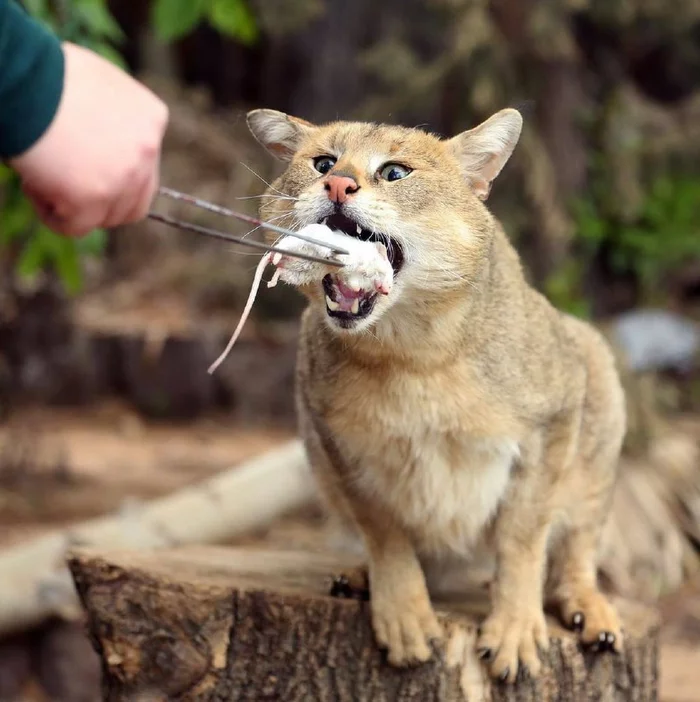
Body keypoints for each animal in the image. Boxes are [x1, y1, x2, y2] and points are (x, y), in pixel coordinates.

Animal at [245, 107, 624, 684]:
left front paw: (515, 628)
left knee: (578, 542)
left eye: (395, 173)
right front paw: (403, 612)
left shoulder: (556, 411)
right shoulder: (335, 439)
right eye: (323, 162)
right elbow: (382, 527)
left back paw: (590, 610)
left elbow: (522, 535)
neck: (411, 355)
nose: (336, 184)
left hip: (600, 384)